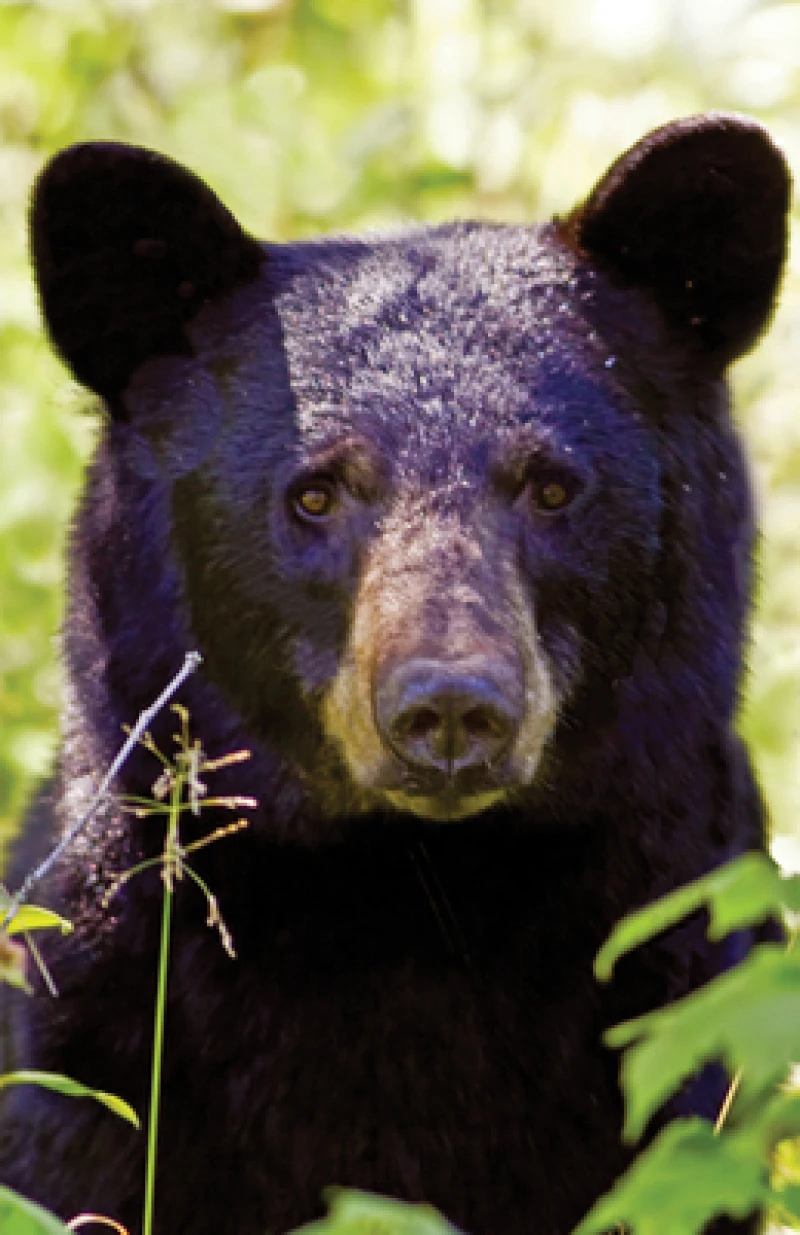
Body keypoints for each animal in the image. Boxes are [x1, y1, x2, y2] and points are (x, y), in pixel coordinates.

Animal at [0, 113, 790, 1235]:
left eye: (553, 486)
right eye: (316, 493)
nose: (451, 707)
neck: (409, 899)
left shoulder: (691, 1001)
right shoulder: (94, 1041)